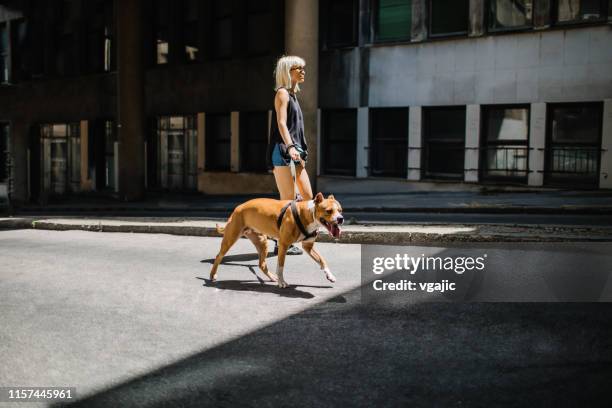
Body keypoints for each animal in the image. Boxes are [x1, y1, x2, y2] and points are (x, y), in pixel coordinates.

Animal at [210, 193, 344, 288]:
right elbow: (280, 266)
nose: (341, 218)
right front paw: (282, 282)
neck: (307, 214)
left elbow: (322, 260)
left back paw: (271, 277)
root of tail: (239, 207)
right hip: (230, 238)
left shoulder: (308, 246)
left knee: (262, 264)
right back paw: (212, 275)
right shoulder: (283, 245)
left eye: (340, 210)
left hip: (262, 242)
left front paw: (330, 275)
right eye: (328, 211)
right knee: (218, 256)